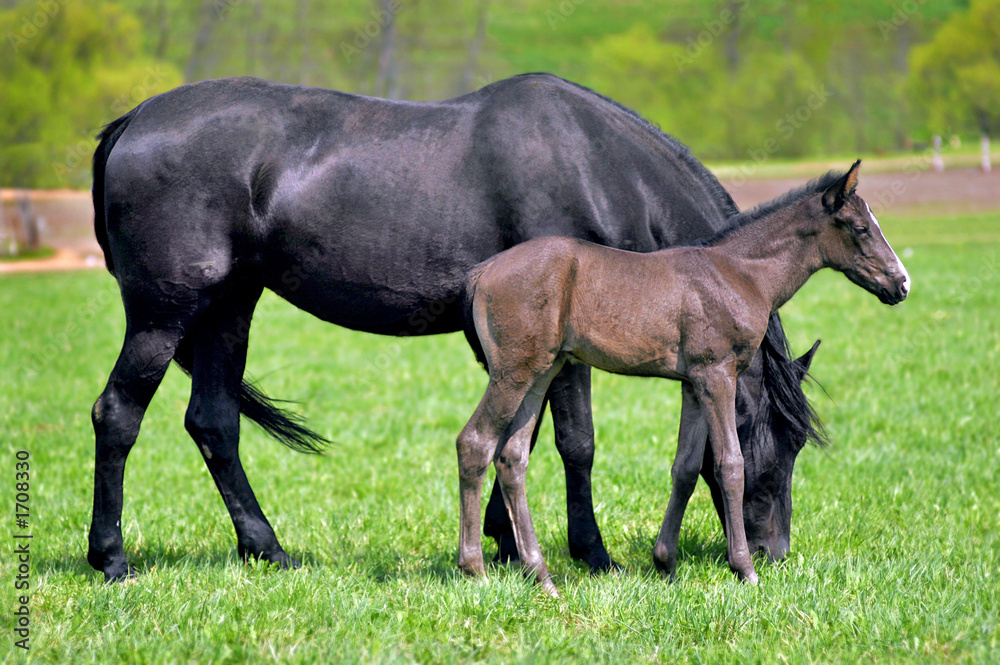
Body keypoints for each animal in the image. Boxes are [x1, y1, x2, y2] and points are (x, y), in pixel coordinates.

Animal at [88, 74, 820, 580]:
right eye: (777, 441)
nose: (773, 551)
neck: (597, 167)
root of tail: (133, 121)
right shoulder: (565, 351)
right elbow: (574, 443)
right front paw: (591, 553)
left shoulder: (528, 349)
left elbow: (514, 437)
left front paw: (502, 539)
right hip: (164, 313)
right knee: (117, 414)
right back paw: (112, 558)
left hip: (229, 306)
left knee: (214, 422)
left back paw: (267, 549)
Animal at [458, 160, 912, 592]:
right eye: (860, 228)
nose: (902, 284)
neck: (737, 274)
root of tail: (482, 272)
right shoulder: (717, 375)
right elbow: (731, 464)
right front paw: (744, 569)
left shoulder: (693, 385)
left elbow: (686, 468)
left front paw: (666, 564)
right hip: (513, 373)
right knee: (475, 443)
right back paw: (475, 569)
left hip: (541, 374)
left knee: (512, 457)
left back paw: (541, 576)